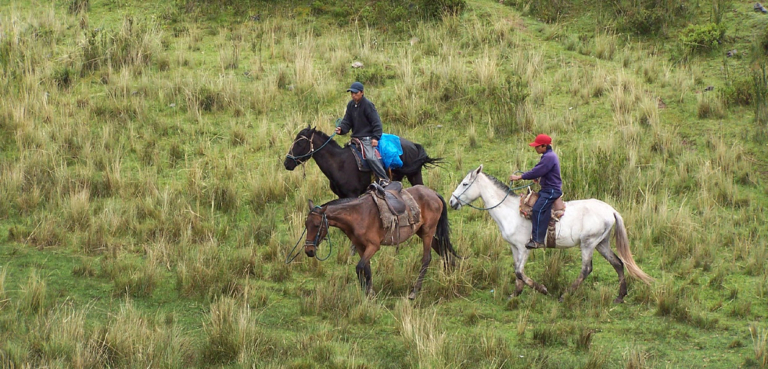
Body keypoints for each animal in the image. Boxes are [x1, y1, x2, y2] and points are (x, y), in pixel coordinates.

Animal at [282, 128, 440, 200]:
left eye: (300, 142)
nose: (287, 162)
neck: (339, 164)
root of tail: (413, 145)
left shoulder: (352, 195)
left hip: (414, 175)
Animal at [304, 184, 460, 300]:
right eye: (306, 224)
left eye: (317, 225)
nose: (309, 251)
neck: (357, 215)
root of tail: (433, 193)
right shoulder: (361, 247)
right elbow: (366, 268)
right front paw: (370, 292)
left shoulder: (373, 246)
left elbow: (359, 267)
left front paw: (367, 293)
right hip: (422, 232)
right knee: (441, 248)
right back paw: (450, 272)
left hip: (428, 232)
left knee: (427, 258)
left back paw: (415, 291)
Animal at [450, 165, 656, 302]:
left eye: (465, 183)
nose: (452, 202)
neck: (510, 211)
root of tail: (611, 210)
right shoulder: (514, 248)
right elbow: (517, 272)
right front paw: (515, 294)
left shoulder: (525, 248)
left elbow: (519, 271)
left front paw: (542, 289)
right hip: (601, 243)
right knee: (618, 263)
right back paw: (620, 296)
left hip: (588, 244)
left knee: (586, 269)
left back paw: (565, 295)